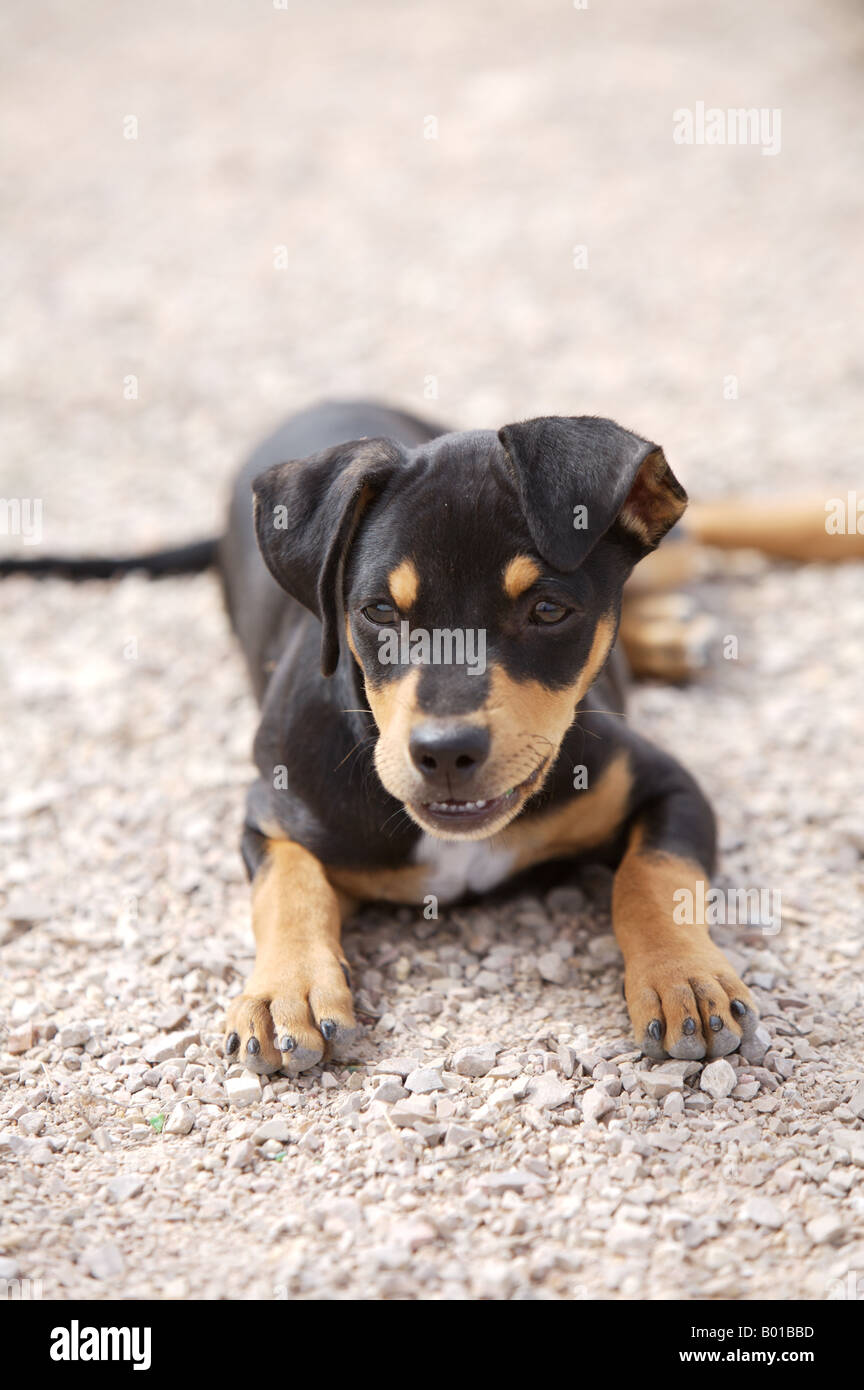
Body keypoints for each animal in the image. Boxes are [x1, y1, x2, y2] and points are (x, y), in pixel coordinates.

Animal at [218, 403, 766, 1073]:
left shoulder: (668, 784)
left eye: (548, 610)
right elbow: (288, 886)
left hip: (671, 550)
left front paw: (684, 978)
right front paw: (286, 991)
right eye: (379, 612)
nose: (445, 752)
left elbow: (655, 875)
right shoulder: (272, 808)